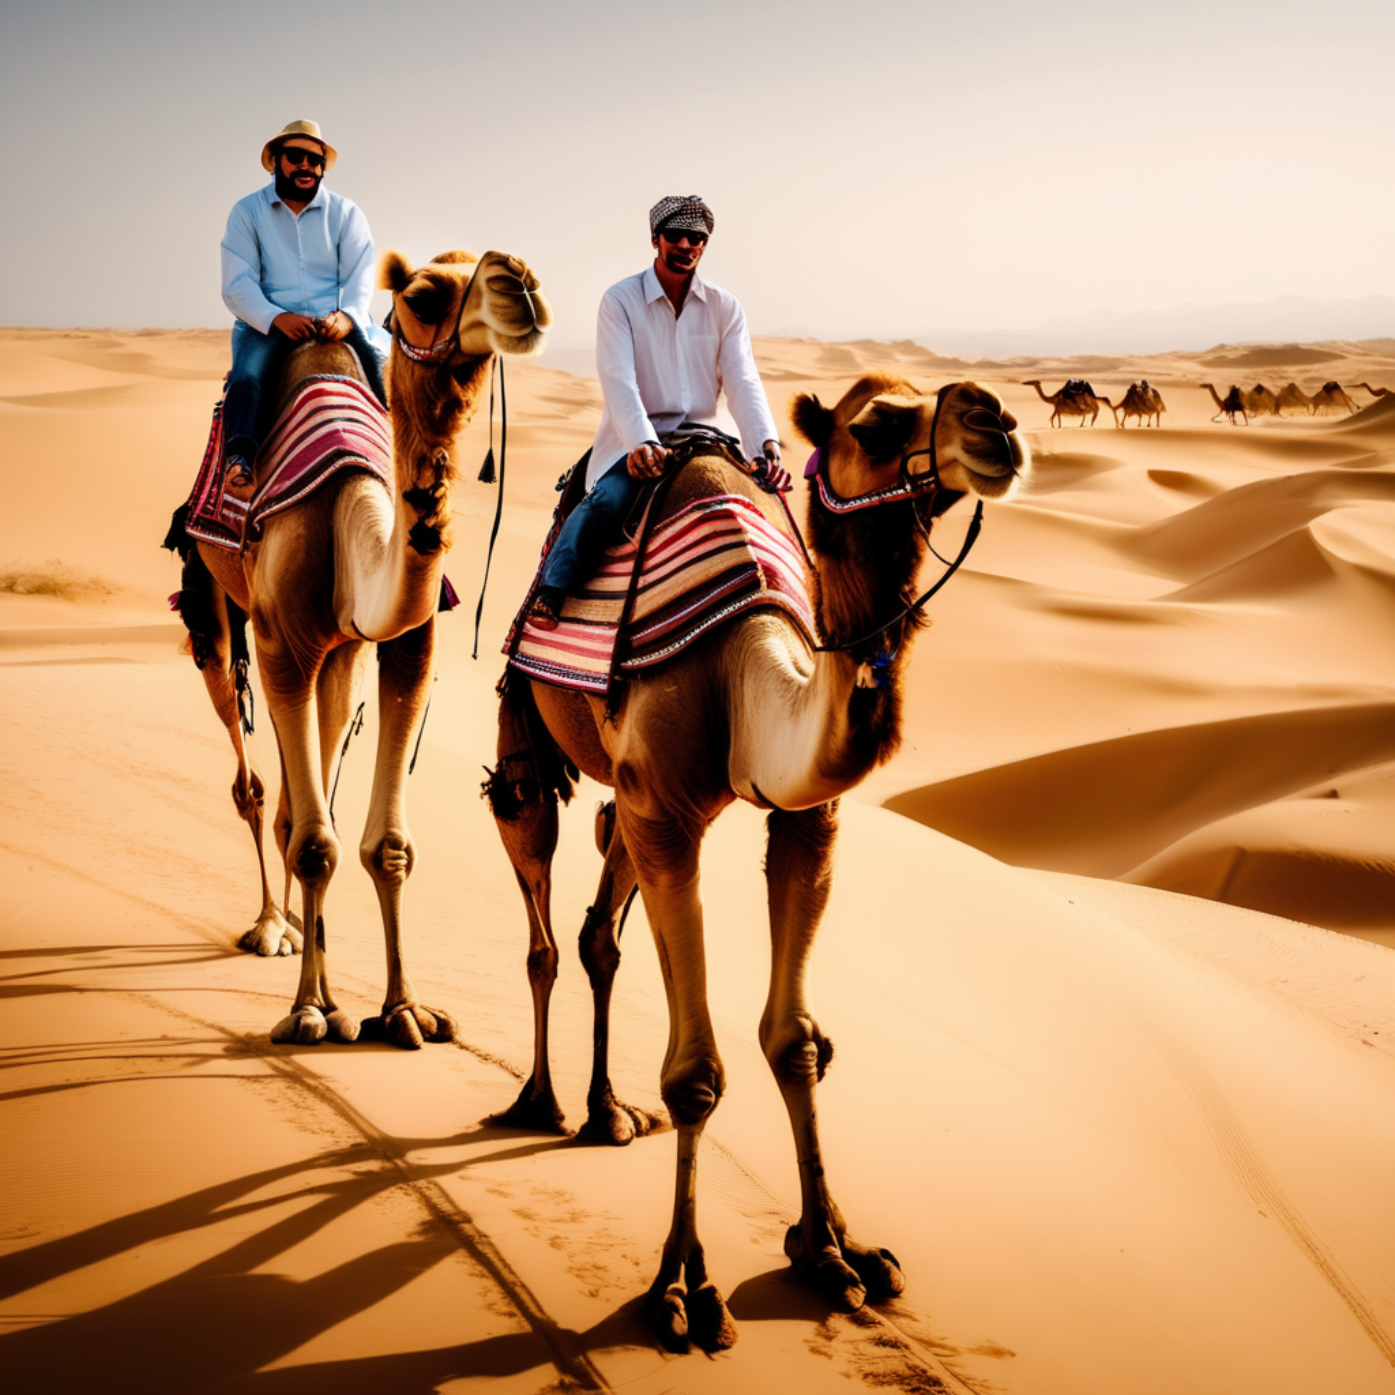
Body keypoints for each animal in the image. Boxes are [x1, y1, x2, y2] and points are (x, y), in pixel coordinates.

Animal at [177, 248, 550, 1046]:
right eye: (422, 294)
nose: (521, 283)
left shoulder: (404, 647)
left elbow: (386, 845)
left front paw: (404, 1008)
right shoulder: (280, 639)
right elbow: (315, 840)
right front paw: (307, 1011)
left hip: (338, 654)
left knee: (304, 792)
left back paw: (302, 942)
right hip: (215, 598)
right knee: (256, 783)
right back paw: (271, 930)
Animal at [486, 374, 1029, 1350]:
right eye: (874, 423)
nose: (994, 420)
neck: (742, 668)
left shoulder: (800, 820)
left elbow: (794, 1040)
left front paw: (835, 1252)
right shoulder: (670, 818)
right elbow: (697, 1073)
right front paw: (681, 1288)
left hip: (626, 798)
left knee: (597, 930)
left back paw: (606, 1112)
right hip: (530, 725)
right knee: (539, 896)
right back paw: (540, 1102)